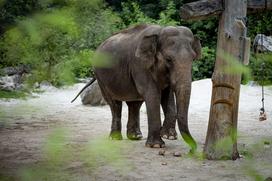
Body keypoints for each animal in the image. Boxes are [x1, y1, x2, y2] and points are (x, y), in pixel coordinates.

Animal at [72, 23, 202, 151]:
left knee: (134, 104)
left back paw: (135, 137)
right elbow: (152, 94)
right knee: (115, 104)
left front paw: (168, 136)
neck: (160, 30)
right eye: (168, 59)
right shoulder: (140, 65)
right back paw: (115, 138)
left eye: (193, 59)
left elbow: (167, 95)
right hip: (101, 78)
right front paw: (156, 145)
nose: (192, 150)